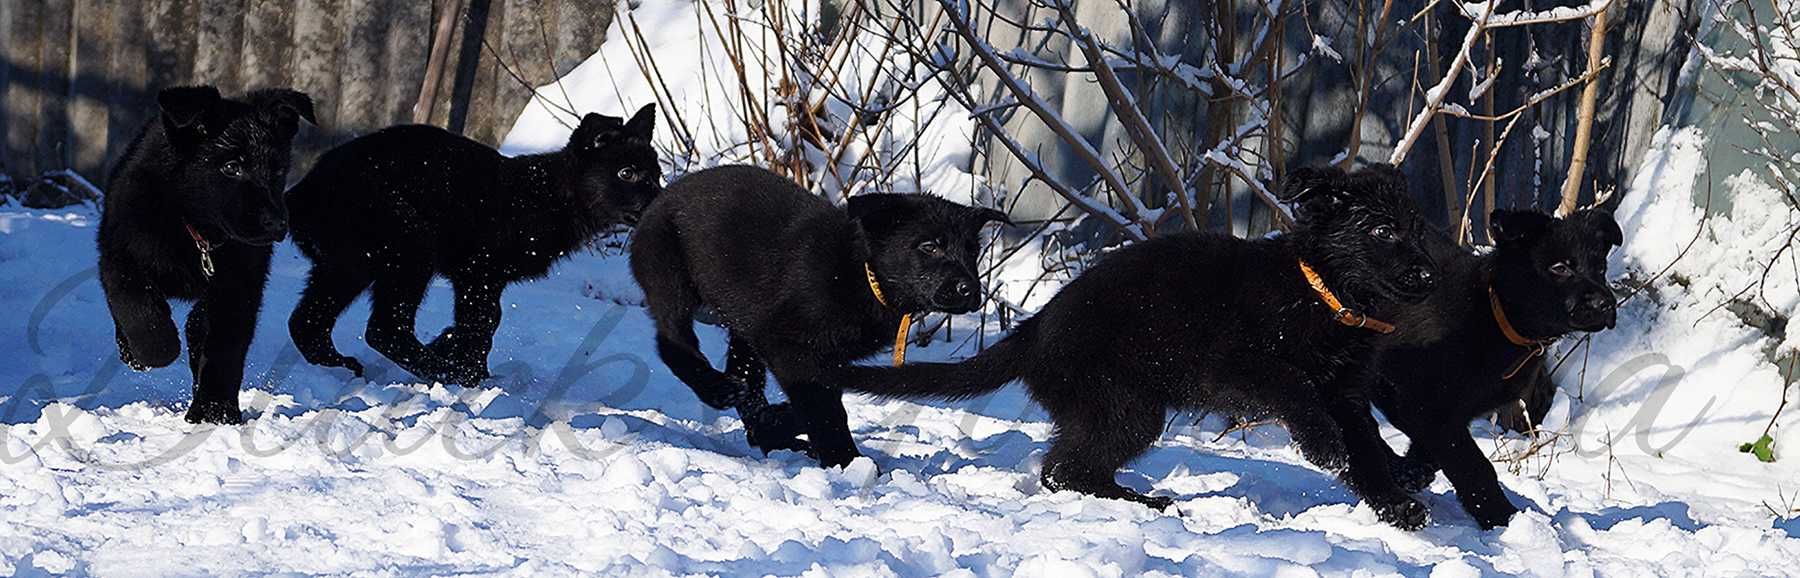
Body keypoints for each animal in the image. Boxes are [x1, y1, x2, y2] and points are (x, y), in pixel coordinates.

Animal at [99, 83, 316, 421]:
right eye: (232, 167)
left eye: (279, 170)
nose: (277, 223)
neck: (195, 229)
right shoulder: (121, 258)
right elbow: (140, 313)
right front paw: (155, 349)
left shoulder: (239, 287)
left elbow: (224, 349)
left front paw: (215, 412)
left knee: (198, 327)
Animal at [288, 104, 662, 381]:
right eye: (627, 173)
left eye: (657, 174)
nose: (662, 202)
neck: (545, 197)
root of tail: (301, 193)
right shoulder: (478, 274)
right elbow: (482, 324)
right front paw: (472, 374)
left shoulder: (482, 279)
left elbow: (486, 322)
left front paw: (453, 347)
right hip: (410, 247)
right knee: (384, 329)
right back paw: (444, 372)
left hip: (348, 265)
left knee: (306, 322)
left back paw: (338, 366)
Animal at [633, 163, 1008, 464]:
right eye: (929, 246)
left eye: (972, 251)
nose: (970, 290)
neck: (862, 273)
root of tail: (662, 195)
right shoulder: (786, 345)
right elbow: (823, 409)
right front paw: (845, 461)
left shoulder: (824, 357)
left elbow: (824, 397)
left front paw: (780, 422)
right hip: (670, 274)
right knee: (672, 341)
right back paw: (717, 390)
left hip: (744, 323)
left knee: (746, 381)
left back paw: (771, 433)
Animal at [835, 163, 1440, 529]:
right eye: (1383, 231)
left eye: (1418, 230)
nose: (1431, 276)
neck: (1320, 293)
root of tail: (1039, 325)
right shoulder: (1241, 367)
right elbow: (1298, 391)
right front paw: (1325, 447)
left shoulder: (1348, 394)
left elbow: (1367, 450)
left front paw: (1396, 502)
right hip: (1126, 405)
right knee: (1063, 472)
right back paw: (1144, 501)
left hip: (1117, 408)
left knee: (1069, 469)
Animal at [1368, 207, 1627, 525]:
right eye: (1559, 268)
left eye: (1600, 268)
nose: (1606, 305)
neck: (1493, 312)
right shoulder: (1413, 399)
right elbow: (1473, 466)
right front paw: (1503, 517)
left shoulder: (1448, 412)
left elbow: (1434, 449)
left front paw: (1412, 472)